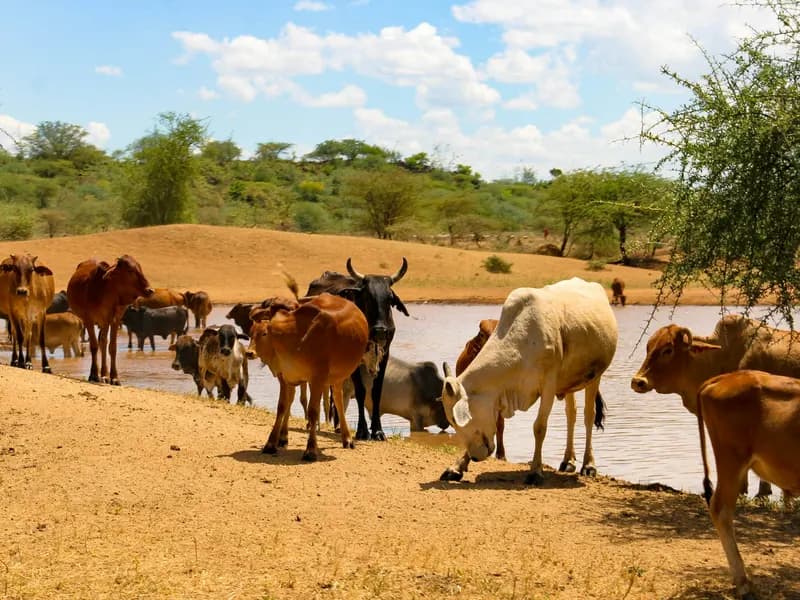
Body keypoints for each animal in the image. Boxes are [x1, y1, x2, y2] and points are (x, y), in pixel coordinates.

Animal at [66, 255, 153, 384]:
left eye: (140, 268)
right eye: (130, 270)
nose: (150, 290)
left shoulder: (114, 320)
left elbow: (112, 347)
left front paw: (114, 377)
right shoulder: (89, 319)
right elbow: (94, 346)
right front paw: (95, 375)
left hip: (104, 323)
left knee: (103, 343)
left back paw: (104, 374)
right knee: (99, 343)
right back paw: (99, 375)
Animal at [246, 293, 369, 461]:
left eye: (264, 333)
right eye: (251, 333)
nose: (249, 352)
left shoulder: (317, 378)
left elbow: (313, 411)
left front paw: (311, 449)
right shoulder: (285, 377)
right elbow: (282, 406)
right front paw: (271, 443)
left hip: (336, 378)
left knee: (338, 401)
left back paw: (347, 438)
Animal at [305, 258, 409, 441]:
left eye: (389, 298)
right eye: (367, 296)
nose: (380, 330)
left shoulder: (385, 356)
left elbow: (376, 392)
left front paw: (378, 431)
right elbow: (360, 392)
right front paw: (362, 431)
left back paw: (338, 426)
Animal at [439, 278, 617, 484]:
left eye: (454, 419)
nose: (476, 457)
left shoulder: (548, 385)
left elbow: (539, 427)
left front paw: (535, 471)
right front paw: (457, 467)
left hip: (595, 377)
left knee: (588, 415)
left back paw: (588, 465)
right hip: (569, 383)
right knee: (571, 414)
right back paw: (568, 461)